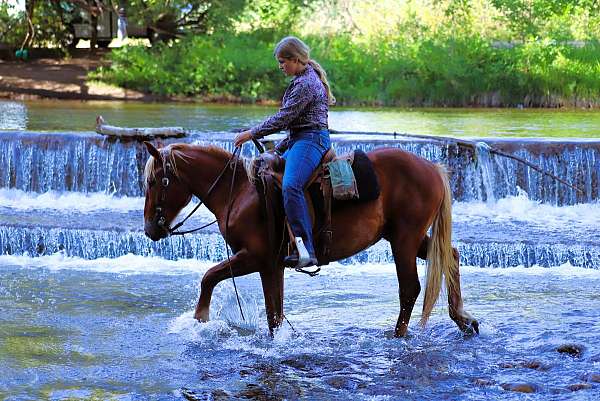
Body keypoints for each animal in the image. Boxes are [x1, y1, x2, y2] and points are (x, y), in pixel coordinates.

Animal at [142, 142, 478, 336]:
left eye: (155, 181)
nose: (149, 229)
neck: (237, 191)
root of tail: (433, 168)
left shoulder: (255, 257)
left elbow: (209, 277)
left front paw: (199, 318)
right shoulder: (272, 266)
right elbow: (274, 313)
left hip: (404, 239)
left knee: (409, 288)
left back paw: (397, 336)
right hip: (407, 236)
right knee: (451, 255)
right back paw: (464, 319)